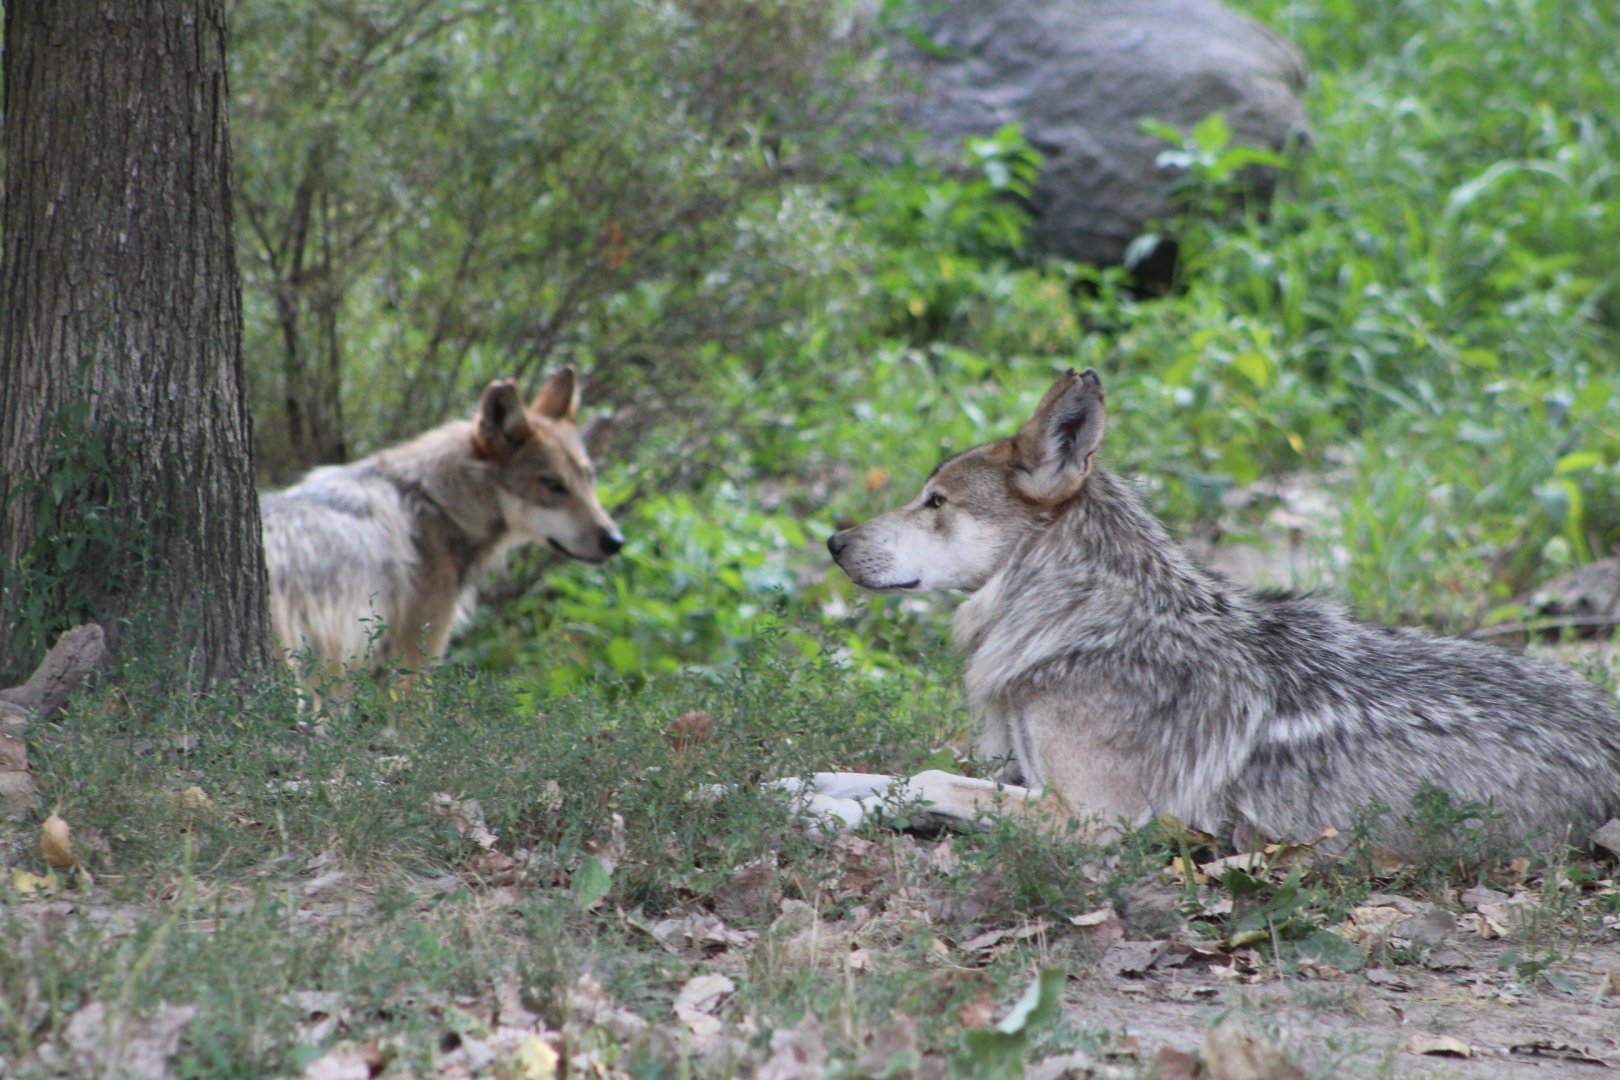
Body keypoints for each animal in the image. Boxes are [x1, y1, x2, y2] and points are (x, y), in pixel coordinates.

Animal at [801, 368, 1620, 856]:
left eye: (935, 502)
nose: (834, 542)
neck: (1084, 623)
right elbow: (871, 776)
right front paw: (791, 792)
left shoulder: (1088, 817)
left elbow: (928, 780)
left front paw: (817, 812)